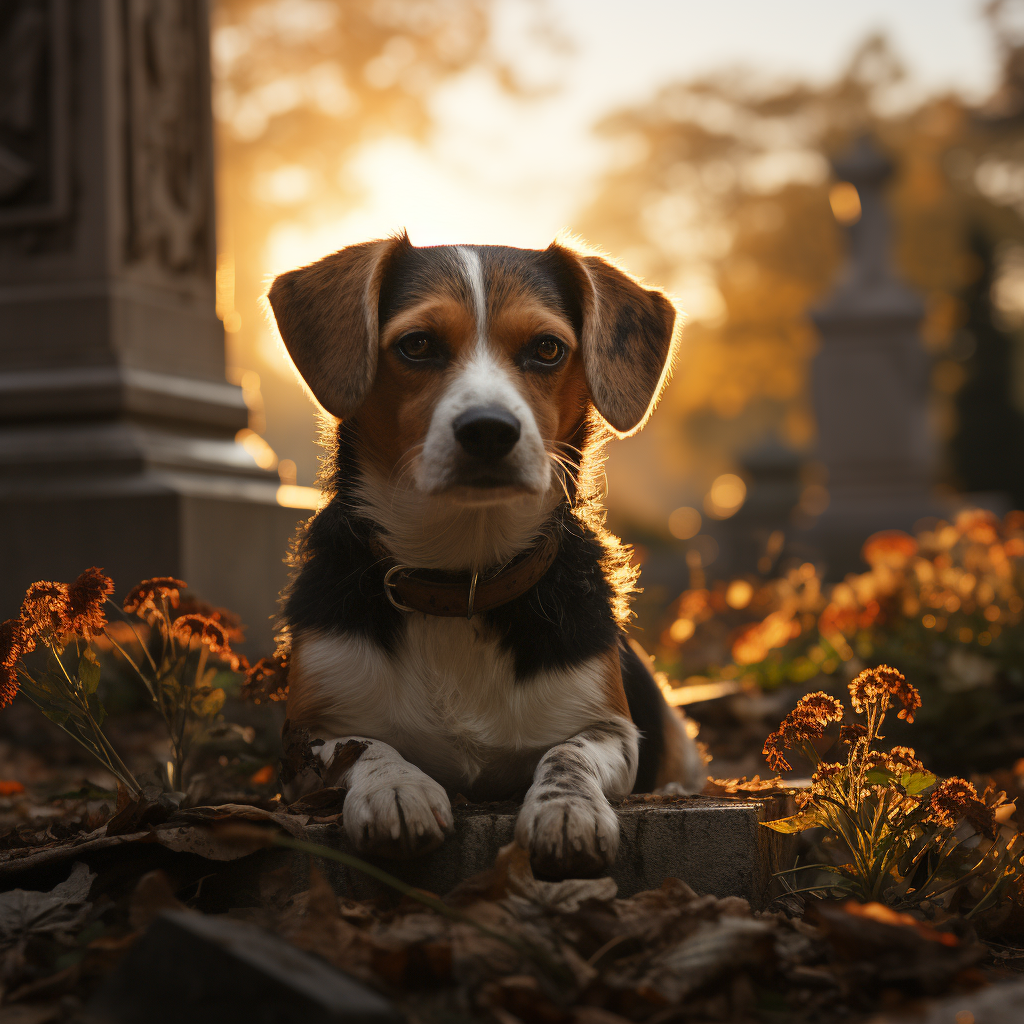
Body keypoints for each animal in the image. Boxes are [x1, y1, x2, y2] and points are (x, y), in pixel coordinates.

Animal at [268, 234, 708, 880]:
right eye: (417, 344)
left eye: (547, 349)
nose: (489, 430)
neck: (461, 578)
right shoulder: (305, 741)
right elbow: (365, 746)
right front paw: (396, 789)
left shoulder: (610, 730)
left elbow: (569, 752)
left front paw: (566, 808)